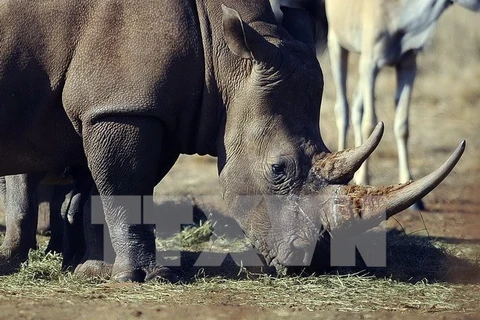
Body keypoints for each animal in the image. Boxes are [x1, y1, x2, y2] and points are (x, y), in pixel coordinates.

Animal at [324, 0, 478, 210]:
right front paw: (362, 180)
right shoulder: (370, 63)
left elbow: (402, 125)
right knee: (343, 109)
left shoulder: (407, 64)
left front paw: (415, 199)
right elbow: (370, 123)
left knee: (356, 106)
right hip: (338, 46)